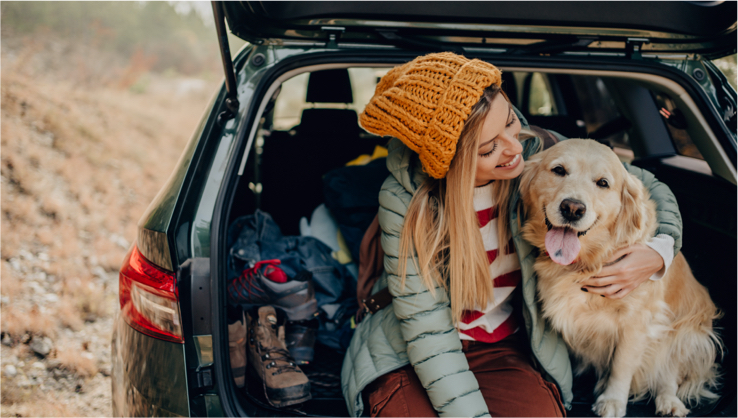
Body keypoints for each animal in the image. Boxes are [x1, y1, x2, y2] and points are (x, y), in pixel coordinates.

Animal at [516, 140, 720, 418]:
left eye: (603, 183)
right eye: (558, 170)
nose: (572, 208)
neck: (588, 261)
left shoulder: (638, 321)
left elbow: (622, 366)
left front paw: (612, 400)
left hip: (685, 332)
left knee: (668, 372)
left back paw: (670, 402)